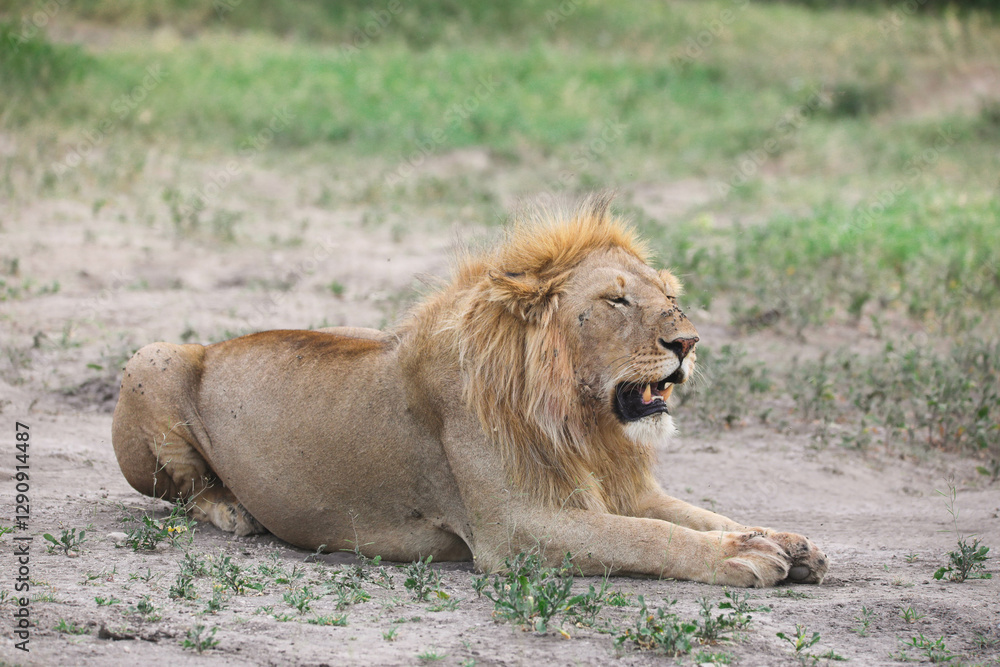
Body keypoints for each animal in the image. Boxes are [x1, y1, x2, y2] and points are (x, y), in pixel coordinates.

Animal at [111, 197, 827, 587]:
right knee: (186, 492)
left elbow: (698, 515)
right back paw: (235, 511)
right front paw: (746, 558)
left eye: (670, 296)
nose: (688, 342)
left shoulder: (625, 489)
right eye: (617, 300)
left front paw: (787, 542)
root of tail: (217, 345)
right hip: (153, 355)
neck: (582, 420)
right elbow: (648, 538)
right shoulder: (515, 529)